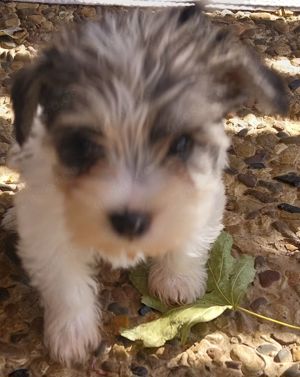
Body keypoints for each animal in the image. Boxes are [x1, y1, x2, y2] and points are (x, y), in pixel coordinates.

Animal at [7, 5, 286, 364]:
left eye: (181, 143)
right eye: (82, 143)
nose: (130, 221)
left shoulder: (201, 196)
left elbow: (188, 240)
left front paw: (177, 279)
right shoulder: (46, 222)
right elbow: (64, 278)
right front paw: (71, 333)